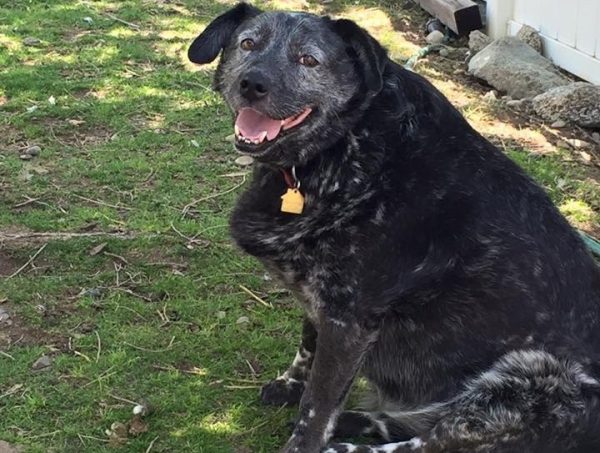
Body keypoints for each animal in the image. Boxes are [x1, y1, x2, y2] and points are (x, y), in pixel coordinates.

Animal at [190, 4, 600, 452]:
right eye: (248, 43)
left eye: (308, 60)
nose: (252, 84)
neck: (347, 144)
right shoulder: (321, 301)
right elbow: (307, 346)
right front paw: (290, 384)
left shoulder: (348, 321)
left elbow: (316, 408)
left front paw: (304, 435)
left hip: (530, 381)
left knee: (427, 442)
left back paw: (346, 443)